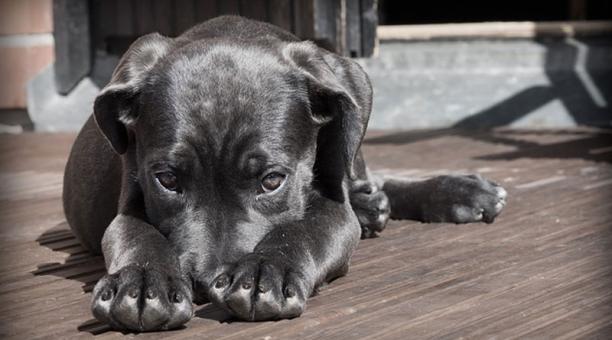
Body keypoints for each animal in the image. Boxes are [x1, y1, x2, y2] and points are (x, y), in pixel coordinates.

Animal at [62, 14, 506, 330]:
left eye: (272, 180)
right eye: (167, 180)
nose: (205, 283)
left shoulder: (333, 207)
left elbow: (304, 229)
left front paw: (264, 271)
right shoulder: (130, 200)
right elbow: (136, 234)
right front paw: (141, 283)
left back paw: (456, 192)